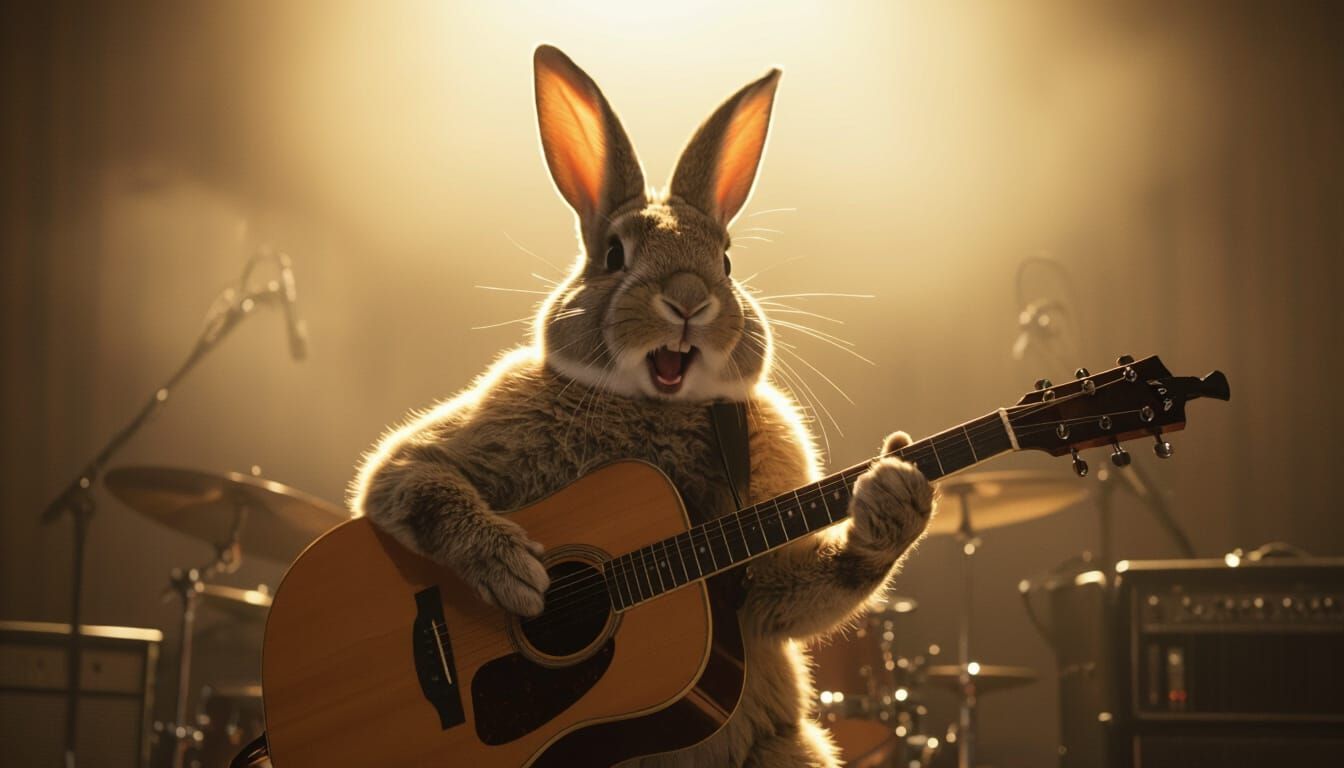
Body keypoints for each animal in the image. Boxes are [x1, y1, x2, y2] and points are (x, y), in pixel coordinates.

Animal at [350, 45, 934, 768]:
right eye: (613, 254)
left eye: (727, 262)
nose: (687, 300)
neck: (653, 404)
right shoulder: (437, 453)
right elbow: (406, 477)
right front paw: (509, 569)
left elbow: (785, 596)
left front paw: (894, 500)